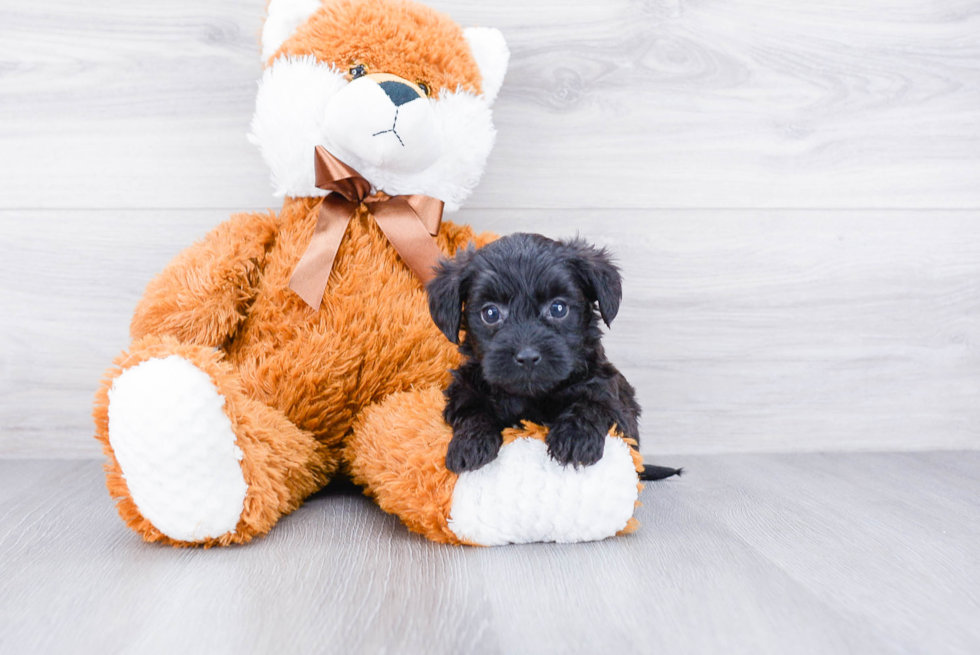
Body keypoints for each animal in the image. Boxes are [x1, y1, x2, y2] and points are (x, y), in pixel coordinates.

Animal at [428, 233, 680, 480]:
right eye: (490, 313)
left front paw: (576, 438)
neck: (531, 396)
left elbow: (593, 402)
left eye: (558, 308)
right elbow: (470, 408)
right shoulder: (464, 388)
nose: (527, 356)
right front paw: (470, 443)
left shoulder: (612, 395)